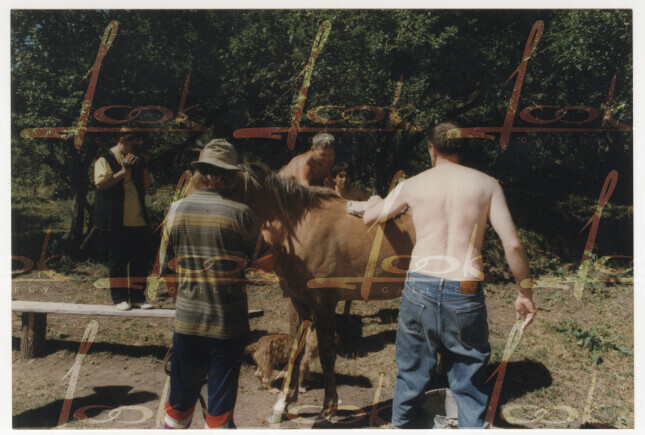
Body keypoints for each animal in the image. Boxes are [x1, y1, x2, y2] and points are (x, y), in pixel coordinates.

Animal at [236, 164, 412, 418]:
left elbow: (328, 355)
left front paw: (329, 405)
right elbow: (295, 348)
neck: (302, 228)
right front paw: (284, 403)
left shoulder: (323, 304)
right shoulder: (297, 301)